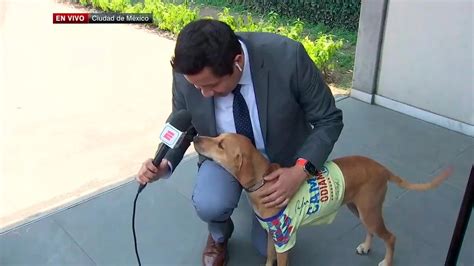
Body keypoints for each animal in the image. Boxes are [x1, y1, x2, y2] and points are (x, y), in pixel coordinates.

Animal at [193, 134, 452, 264]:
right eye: (217, 136)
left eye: (220, 144)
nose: (195, 136)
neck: (264, 181)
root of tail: (383, 168)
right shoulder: (271, 237)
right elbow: (268, 260)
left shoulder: (285, 241)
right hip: (359, 208)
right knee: (370, 230)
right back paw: (366, 247)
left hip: (369, 211)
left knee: (391, 237)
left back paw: (386, 262)